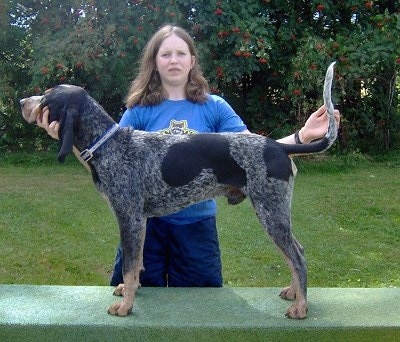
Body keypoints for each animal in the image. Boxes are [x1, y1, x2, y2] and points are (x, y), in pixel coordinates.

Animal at [21, 62, 338, 320]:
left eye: (46, 96)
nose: (22, 101)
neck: (108, 145)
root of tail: (278, 147)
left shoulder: (129, 218)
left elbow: (129, 265)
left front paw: (125, 307)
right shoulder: (140, 221)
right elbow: (136, 266)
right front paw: (129, 291)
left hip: (270, 212)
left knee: (297, 256)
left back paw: (301, 307)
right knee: (297, 253)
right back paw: (294, 294)